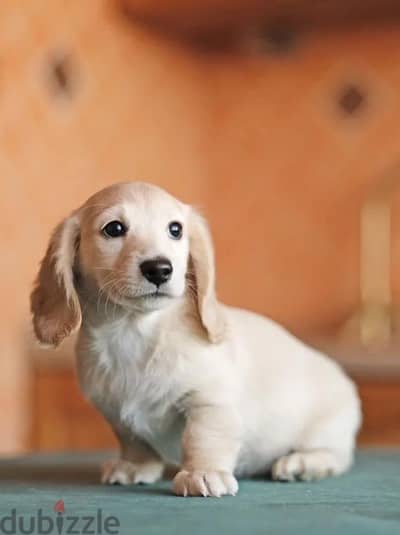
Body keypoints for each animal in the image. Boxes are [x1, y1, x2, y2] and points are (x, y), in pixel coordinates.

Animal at [31, 181, 360, 498]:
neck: (134, 332)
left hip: (325, 430)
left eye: (175, 229)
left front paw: (204, 473)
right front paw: (135, 467)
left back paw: (300, 463)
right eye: (114, 228)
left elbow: (202, 439)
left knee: (336, 457)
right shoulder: (115, 414)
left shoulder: (209, 402)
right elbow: (134, 440)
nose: (160, 269)